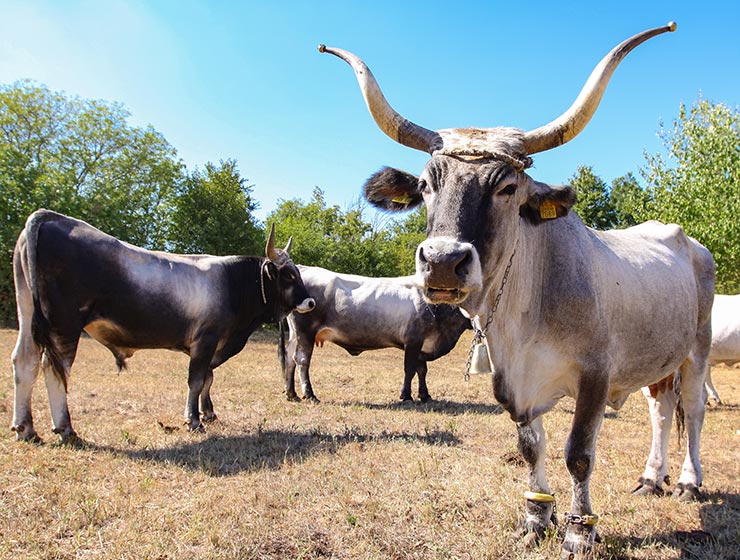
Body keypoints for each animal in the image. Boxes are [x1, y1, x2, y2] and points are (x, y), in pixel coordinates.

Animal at [11, 209, 315, 441]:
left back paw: (26, 428)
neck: (232, 282)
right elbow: (197, 379)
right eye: (289, 275)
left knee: (25, 361)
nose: (311, 302)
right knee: (55, 369)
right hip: (64, 325)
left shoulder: (211, 347)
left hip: (27, 313)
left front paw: (208, 412)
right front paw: (193, 420)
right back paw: (65, 428)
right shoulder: (205, 340)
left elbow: (208, 378)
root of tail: (50, 217)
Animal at [279, 265, 471, 403]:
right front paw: (406, 396)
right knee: (302, 360)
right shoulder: (413, 341)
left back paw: (291, 394)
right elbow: (410, 369)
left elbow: (422, 370)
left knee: (290, 358)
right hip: (305, 332)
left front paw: (425, 395)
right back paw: (310, 395)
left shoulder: (421, 345)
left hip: (295, 335)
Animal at [320, 22, 715, 558]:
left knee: (691, 410)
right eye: (425, 186)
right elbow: (531, 446)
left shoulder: (595, 375)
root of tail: (687, 241)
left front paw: (579, 530)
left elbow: (578, 454)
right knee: (661, 409)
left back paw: (689, 482)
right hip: (658, 359)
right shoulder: (514, 383)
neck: (524, 317)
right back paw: (651, 478)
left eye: (507, 187)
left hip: (697, 349)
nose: (442, 262)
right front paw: (536, 517)